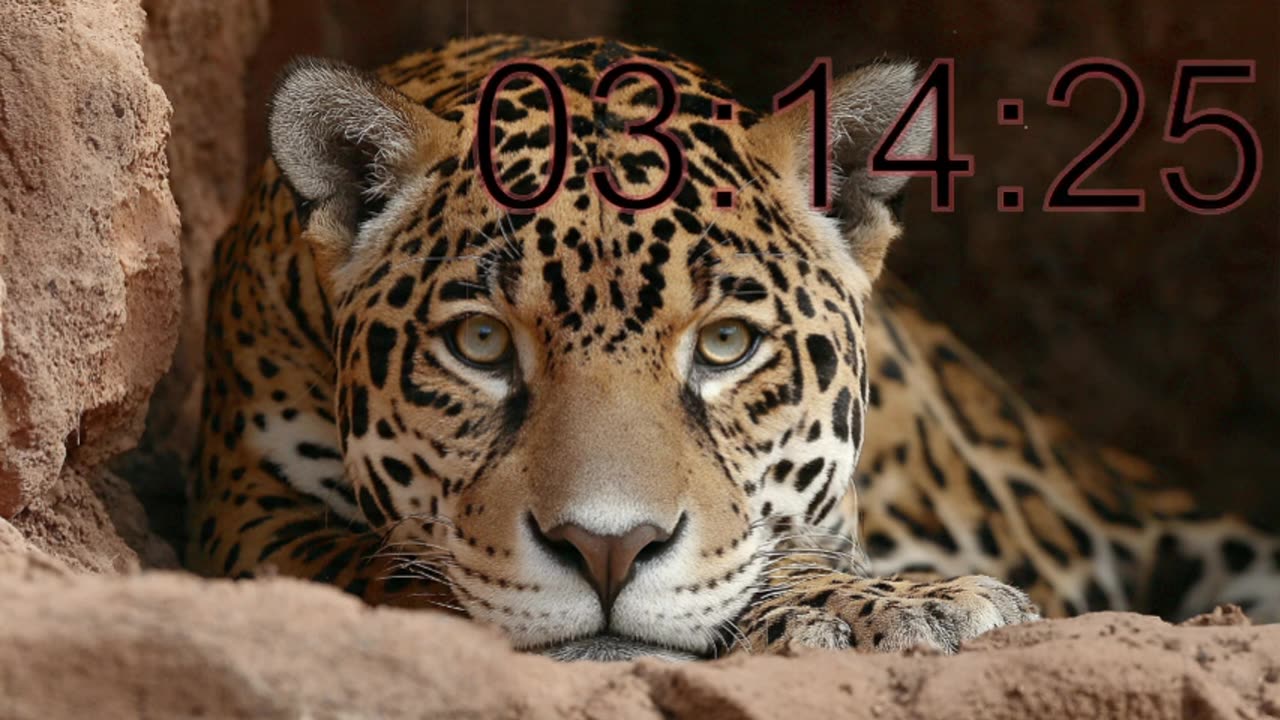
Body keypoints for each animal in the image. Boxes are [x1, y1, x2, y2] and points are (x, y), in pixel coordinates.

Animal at [188, 35, 1279, 662]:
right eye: (479, 342)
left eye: (723, 345)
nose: (605, 550)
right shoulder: (257, 518)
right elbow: (391, 557)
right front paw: (902, 603)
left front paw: (892, 599)